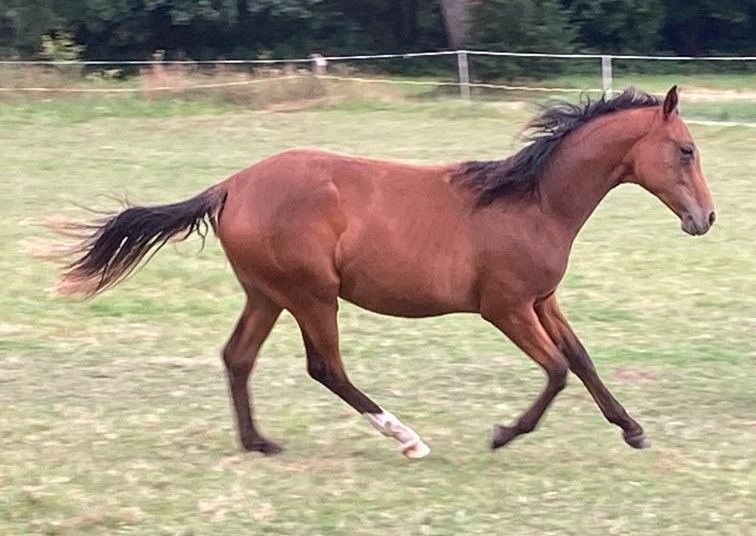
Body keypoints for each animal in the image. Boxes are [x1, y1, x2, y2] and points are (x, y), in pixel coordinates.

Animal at [57, 86, 716, 458]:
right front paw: (503, 434)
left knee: (237, 357)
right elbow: (556, 371)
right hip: (312, 294)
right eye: (685, 150)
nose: (706, 218)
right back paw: (407, 438)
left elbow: (580, 360)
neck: (533, 202)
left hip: (266, 293)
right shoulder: (504, 308)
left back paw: (258, 442)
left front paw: (632, 430)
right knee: (325, 367)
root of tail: (230, 186)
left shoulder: (541, 301)